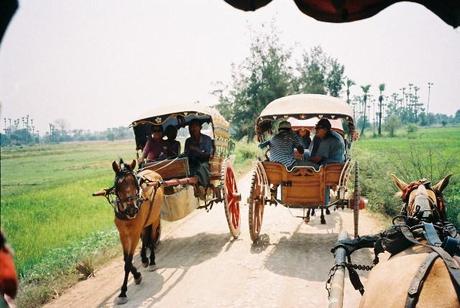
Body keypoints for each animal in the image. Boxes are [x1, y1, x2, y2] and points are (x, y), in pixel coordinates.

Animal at [110, 160, 164, 304]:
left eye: (135, 183)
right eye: (118, 185)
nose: (131, 210)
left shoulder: (134, 233)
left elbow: (128, 262)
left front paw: (123, 291)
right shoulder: (123, 234)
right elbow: (125, 259)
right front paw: (137, 274)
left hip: (154, 218)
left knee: (151, 238)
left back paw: (151, 261)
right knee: (145, 238)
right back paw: (144, 258)